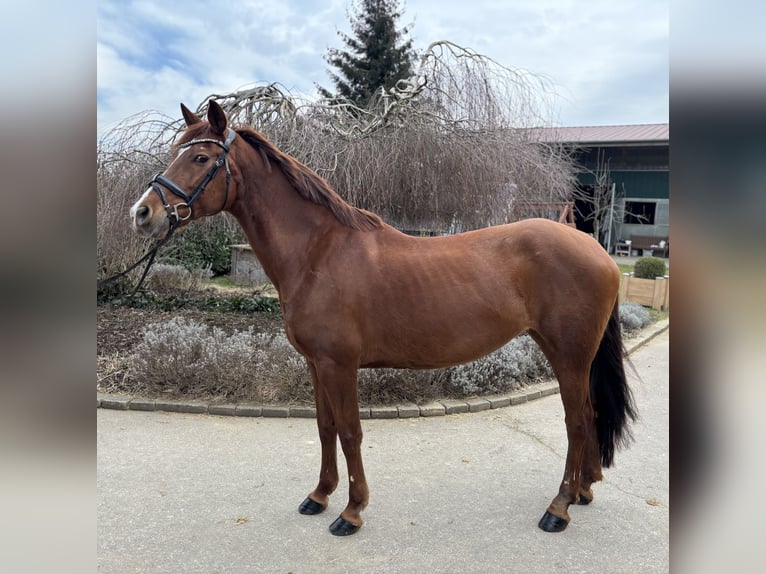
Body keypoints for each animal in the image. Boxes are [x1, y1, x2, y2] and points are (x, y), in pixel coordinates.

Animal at [130, 101, 636, 536]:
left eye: (199, 157)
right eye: (175, 151)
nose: (142, 213)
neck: (319, 252)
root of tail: (596, 248)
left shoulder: (340, 365)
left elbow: (351, 432)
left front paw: (351, 512)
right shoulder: (315, 364)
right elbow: (325, 428)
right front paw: (319, 496)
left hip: (569, 355)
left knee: (576, 421)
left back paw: (559, 508)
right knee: (588, 416)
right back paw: (584, 491)